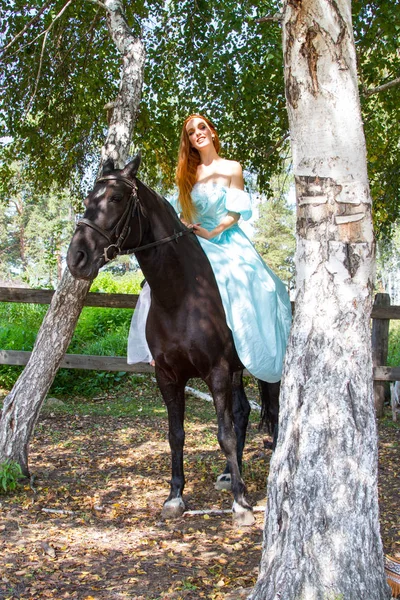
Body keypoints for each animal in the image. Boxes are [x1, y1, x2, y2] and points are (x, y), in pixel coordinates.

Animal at [66, 155, 278, 524]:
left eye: (116, 198)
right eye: (88, 199)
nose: (76, 258)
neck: (182, 295)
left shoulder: (216, 373)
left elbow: (223, 434)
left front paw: (240, 504)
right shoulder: (167, 376)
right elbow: (176, 434)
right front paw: (175, 496)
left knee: (276, 414)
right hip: (238, 372)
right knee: (242, 414)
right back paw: (229, 474)